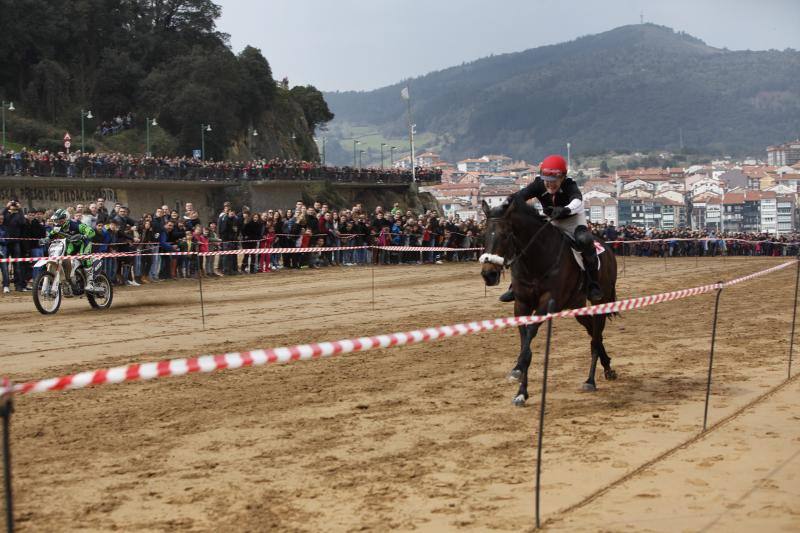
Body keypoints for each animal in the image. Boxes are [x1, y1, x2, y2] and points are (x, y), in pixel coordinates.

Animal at [482, 197, 620, 406]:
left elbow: (530, 336)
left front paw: (517, 369)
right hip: (576, 304)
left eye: (505, 235)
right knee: (593, 332)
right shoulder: (521, 305)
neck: (536, 259)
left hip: (600, 301)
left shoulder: (547, 304)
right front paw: (521, 392)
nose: (488, 274)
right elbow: (525, 343)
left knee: (596, 336)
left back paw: (590, 380)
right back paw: (608, 367)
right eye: (483, 234)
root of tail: (608, 249)